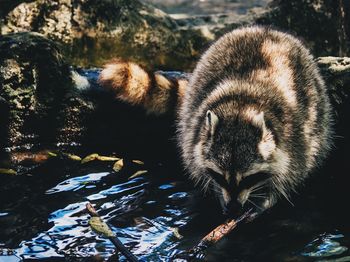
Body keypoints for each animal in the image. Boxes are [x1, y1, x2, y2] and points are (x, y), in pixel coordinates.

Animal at [98, 26, 334, 215]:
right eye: (220, 176)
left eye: (248, 178)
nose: (233, 208)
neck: (241, 107)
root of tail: (263, 29)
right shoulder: (194, 130)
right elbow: (195, 161)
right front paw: (215, 191)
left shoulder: (297, 138)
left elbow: (293, 172)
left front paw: (270, 196)